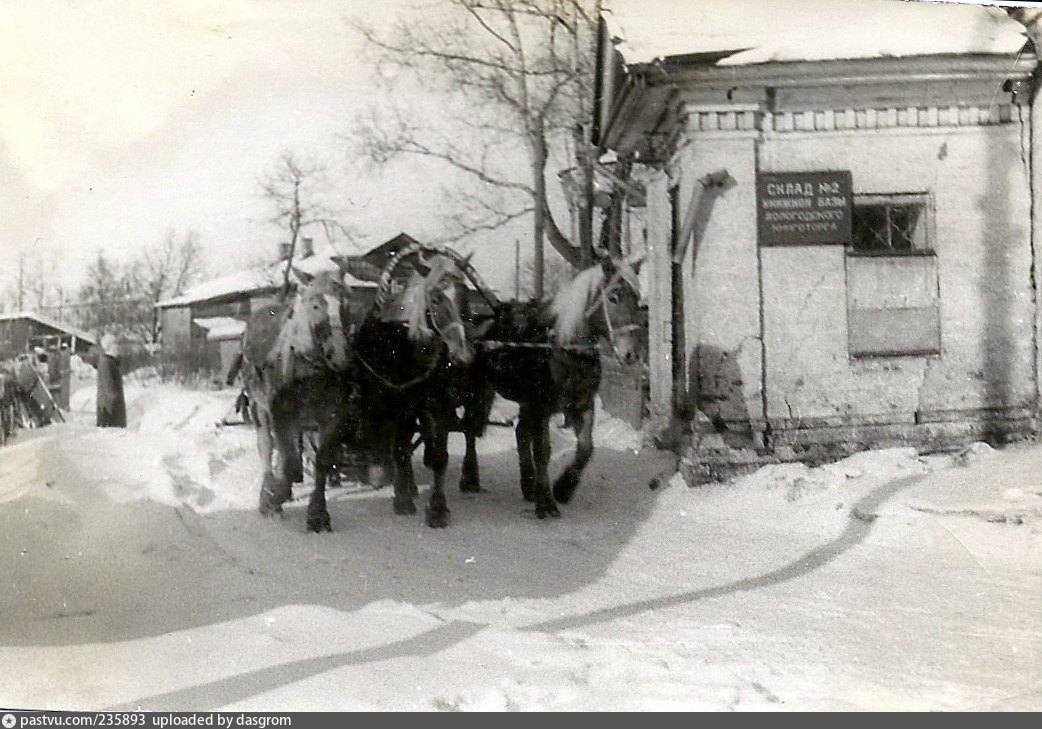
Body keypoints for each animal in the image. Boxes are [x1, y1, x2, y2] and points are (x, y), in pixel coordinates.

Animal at [470, 255, 641, 518]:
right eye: (614, 297)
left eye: (637, 298)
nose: (630, 354)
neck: (564, 349)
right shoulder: (542, 409)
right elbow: (544, 452)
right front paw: (547, 503)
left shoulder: (583, 405)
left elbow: (585, 448)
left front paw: (563, 489)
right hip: (480, 391)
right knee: (470, 430)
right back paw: (470, 479)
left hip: (525, 401)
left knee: (520, 433)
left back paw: (528, 486)